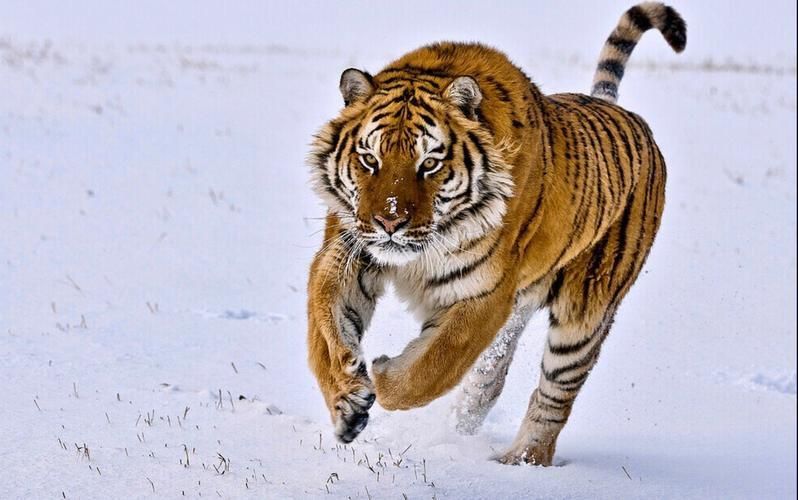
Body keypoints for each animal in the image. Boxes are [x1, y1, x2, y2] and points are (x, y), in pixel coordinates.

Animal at [306, 2, 686, 465]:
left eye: (429, 164)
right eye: (369, 159)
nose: (389, 222)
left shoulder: (488, 292)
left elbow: (435, 365)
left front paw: (381, 374)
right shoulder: (346, 249)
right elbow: (325, 326)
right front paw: (347, 399)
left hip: (585, 313)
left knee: (554, 396)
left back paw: (520, 463)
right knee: (488, 380)